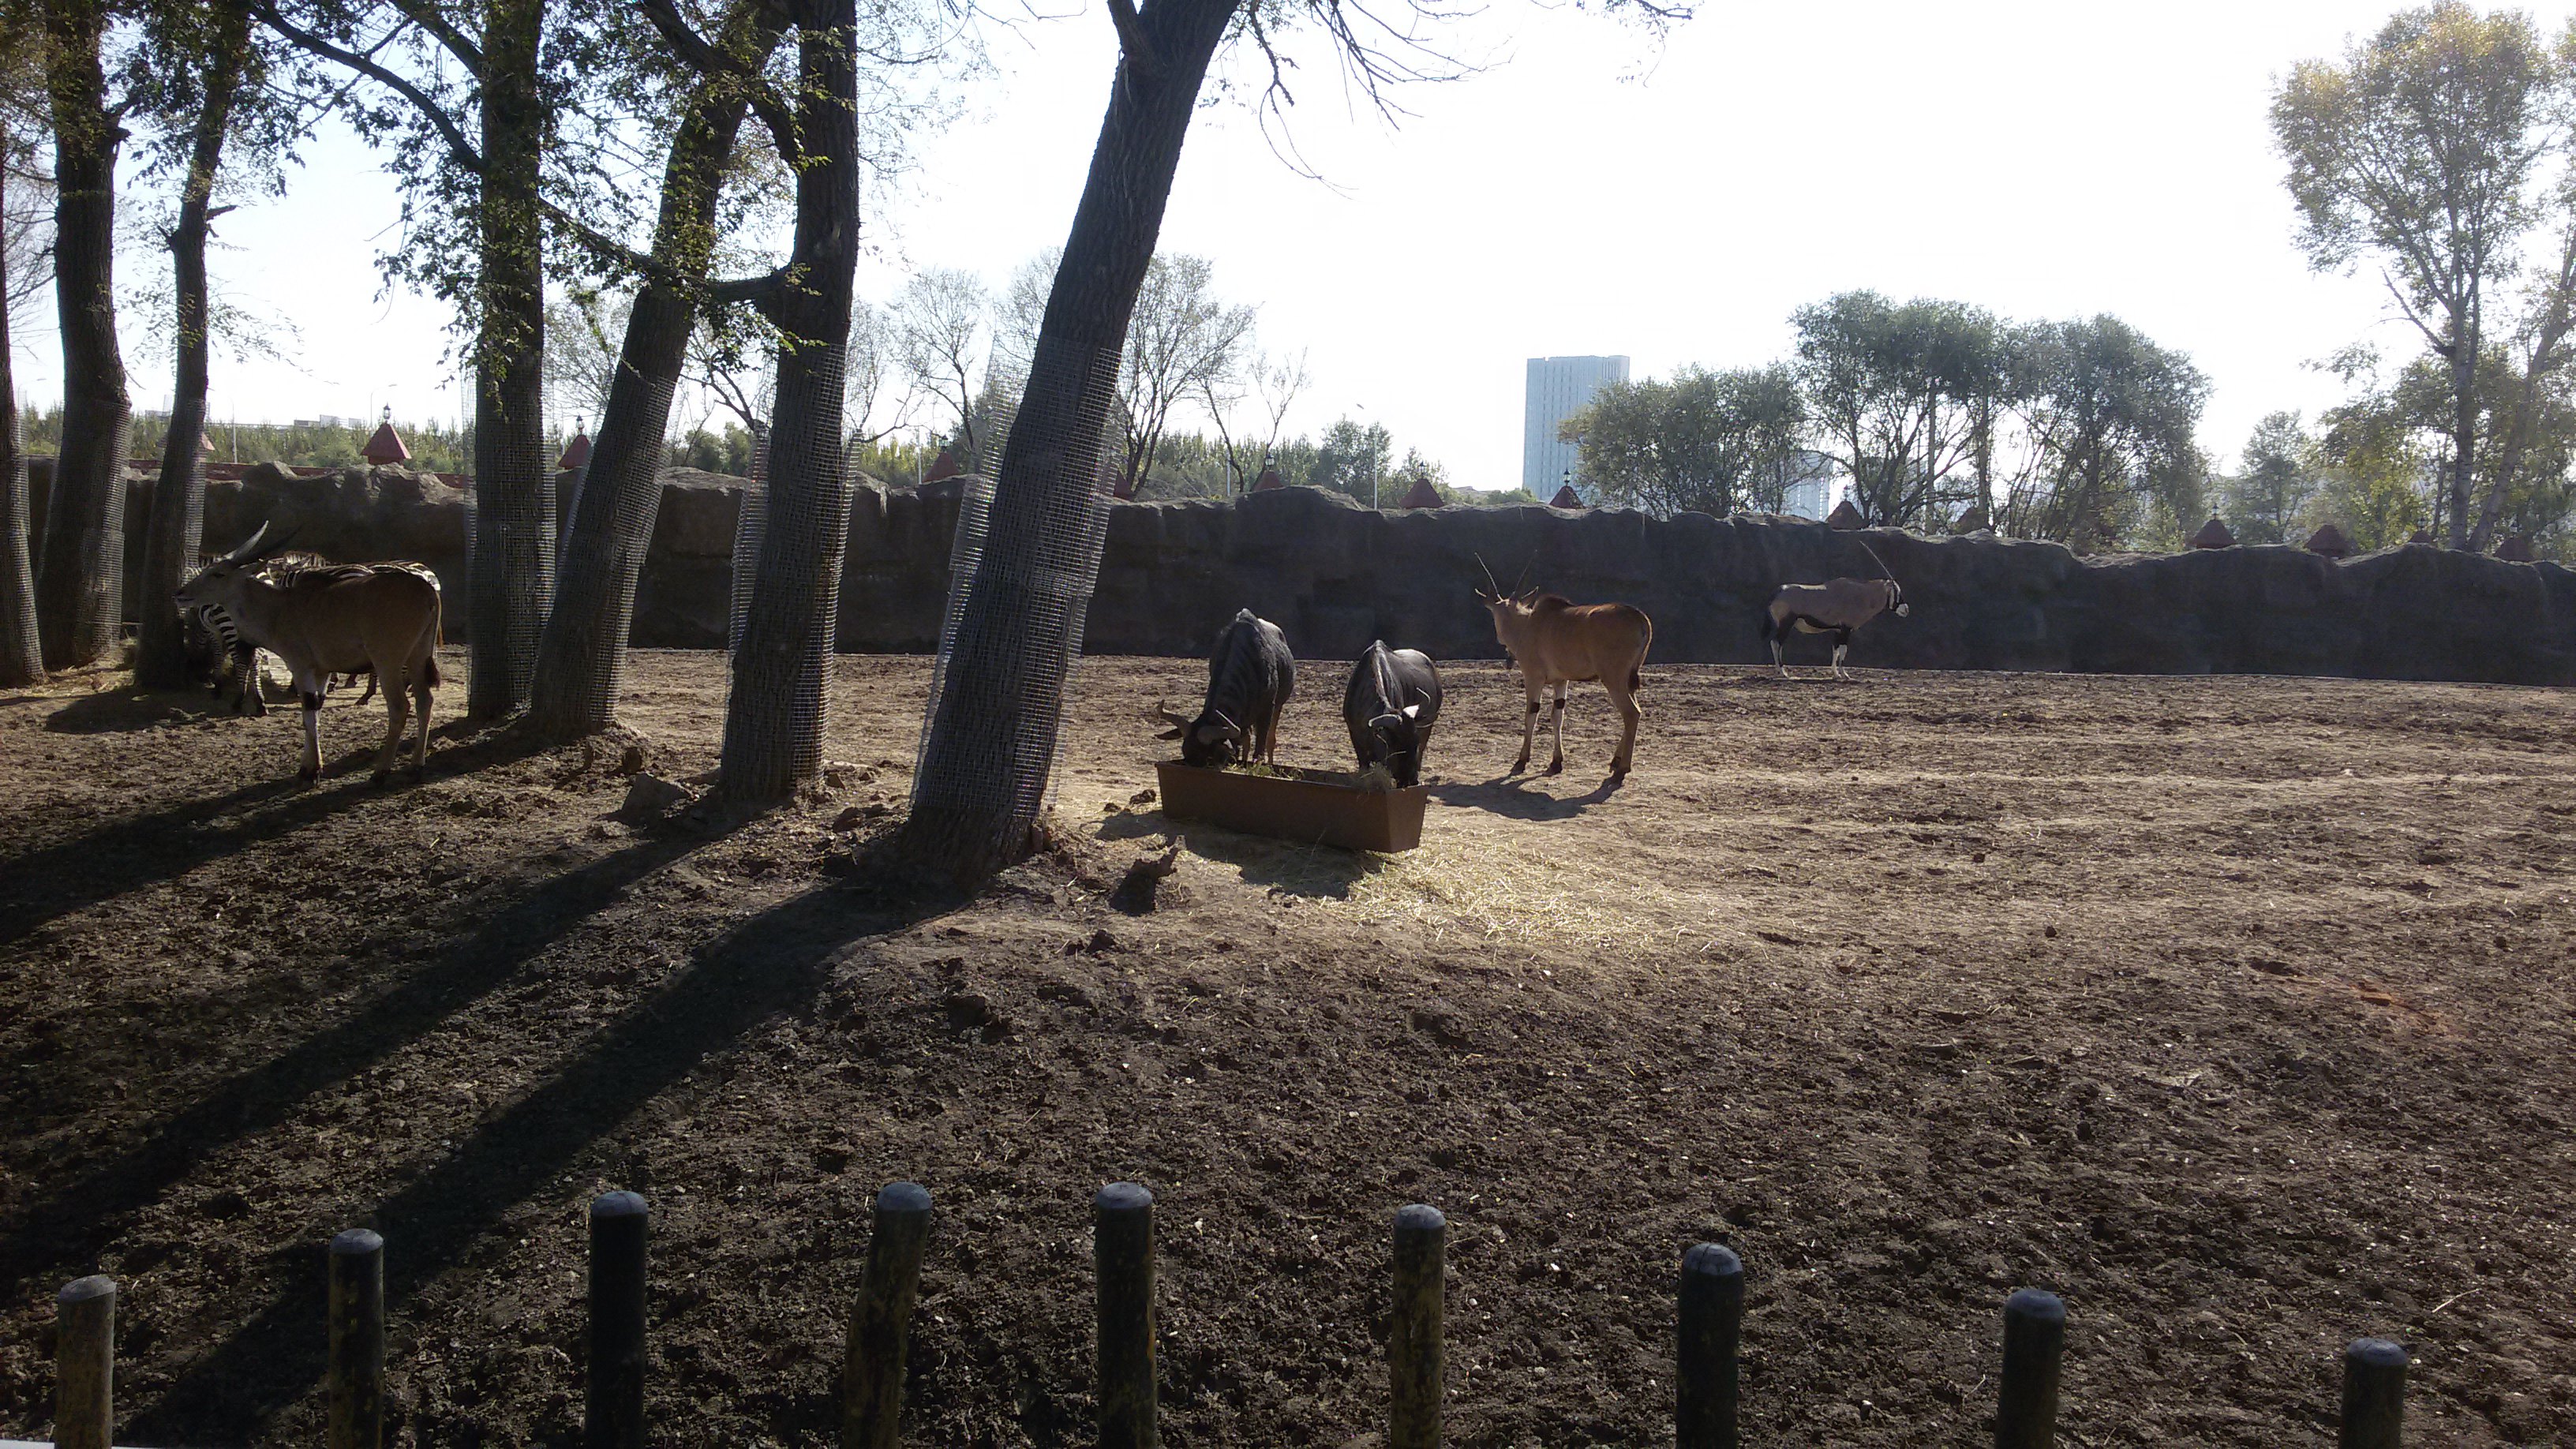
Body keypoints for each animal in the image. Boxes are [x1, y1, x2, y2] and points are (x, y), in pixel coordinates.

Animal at [1473, 572, 1648, 778]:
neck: (1527, 624)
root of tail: (1639, 617)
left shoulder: (1534, 678)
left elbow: (1531, 715)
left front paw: (1521, 761)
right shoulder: (1561, 681)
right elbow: (1557, 717)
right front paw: (1556, 762)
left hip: (1613, 679)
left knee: (1631, 713)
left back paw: (1622, 769)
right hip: (1627, 681)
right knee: (1634, 712)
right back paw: (1615, 760)